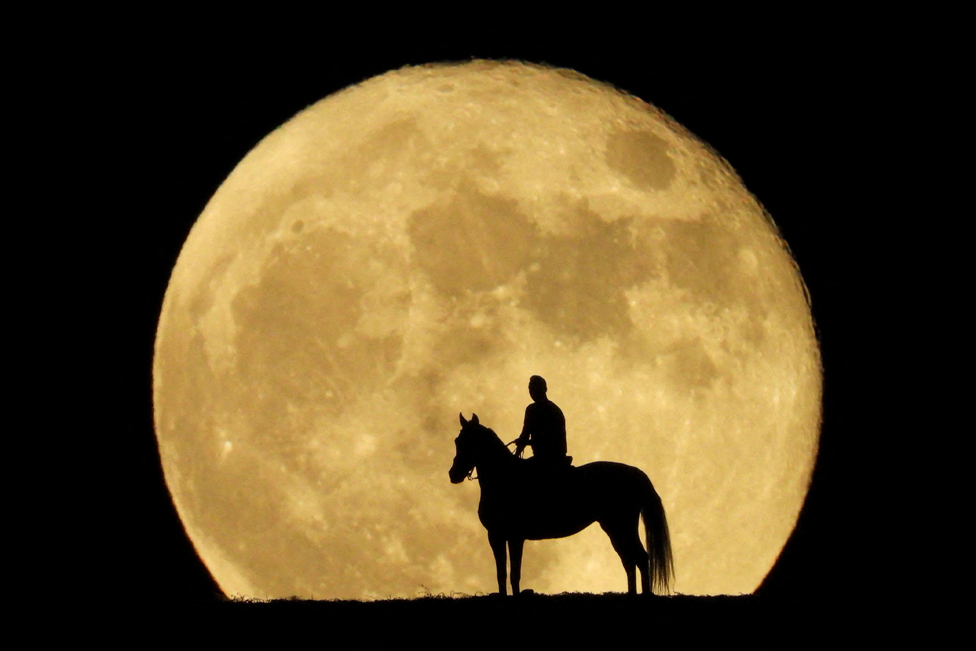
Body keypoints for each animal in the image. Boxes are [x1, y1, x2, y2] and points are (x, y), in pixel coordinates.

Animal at [449, 412, 673, 596]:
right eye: (457, 441)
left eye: (468, 442)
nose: (453, 474)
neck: (504, 478)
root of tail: (636, 473)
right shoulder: (496, 535)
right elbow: (501, 573)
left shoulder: (514, 536)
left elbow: (514, 573)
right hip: (614, 528)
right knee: (629, 560)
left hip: (621, 526)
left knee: (640, 558)